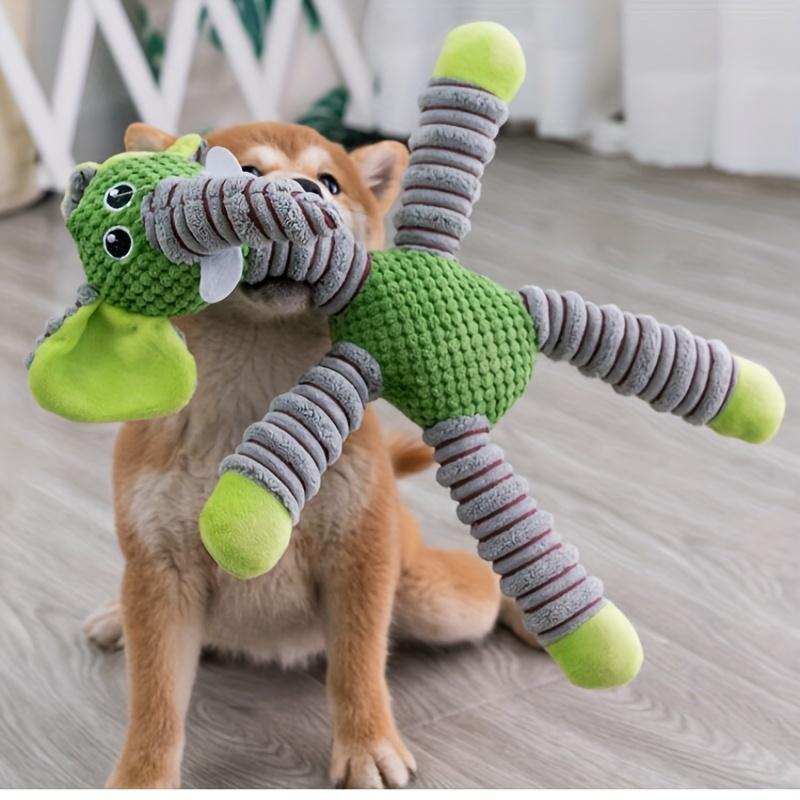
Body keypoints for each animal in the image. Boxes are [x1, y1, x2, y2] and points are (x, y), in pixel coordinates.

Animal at [83, 120, 536, 789]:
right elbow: (156, 701)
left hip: (432, 598)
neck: (253, 406)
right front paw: (142, 779)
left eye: (330, 182)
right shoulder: (160, 571)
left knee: (484, 585)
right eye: (245, 171)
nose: (303, 191)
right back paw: (114, 616)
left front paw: (368, 744)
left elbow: (356, 665)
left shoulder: (359, 556)